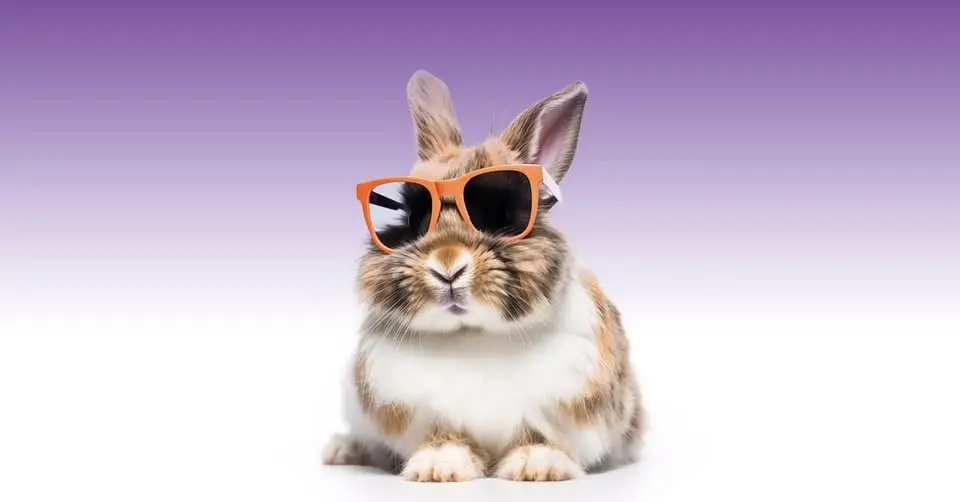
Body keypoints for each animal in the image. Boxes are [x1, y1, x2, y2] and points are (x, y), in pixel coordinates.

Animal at [322, 70, 644, 482]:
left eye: (501, 215)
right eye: (414, 220)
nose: (447, 265)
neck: (473, 335)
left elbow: (540, 437)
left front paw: (537, 466)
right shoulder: (428, 413)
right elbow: (445, 437)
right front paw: (439, 467)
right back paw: (342, 450)